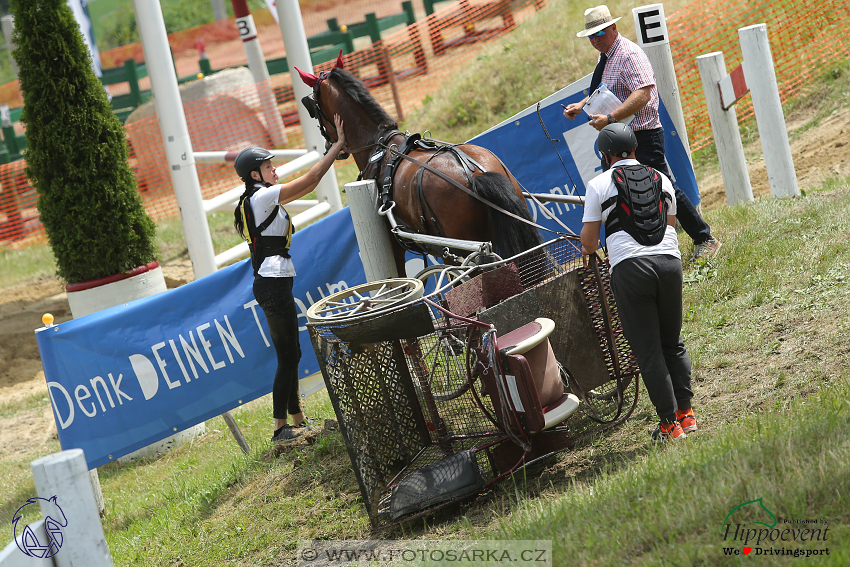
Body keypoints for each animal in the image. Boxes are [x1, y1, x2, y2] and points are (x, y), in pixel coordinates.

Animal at [294, 56, 540, 282]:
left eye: (313, 107)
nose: (331, 148)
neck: (379, 146)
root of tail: (474, 173)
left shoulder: (394, 247)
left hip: (462, 252)